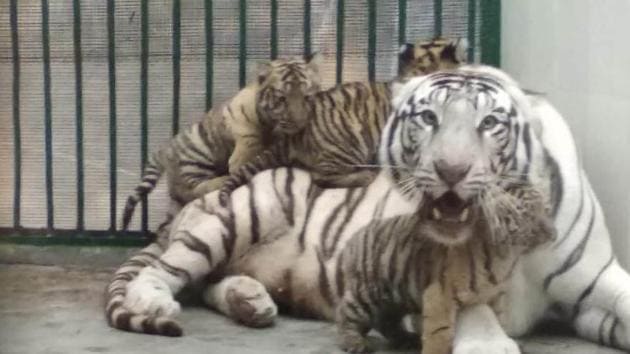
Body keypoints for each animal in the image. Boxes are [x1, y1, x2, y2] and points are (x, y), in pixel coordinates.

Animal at [107, 65, 630, 352]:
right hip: (238, 213)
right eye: (427, 118)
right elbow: (472, 307)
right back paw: (155, 300)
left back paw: (251, 302)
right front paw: (487, 341)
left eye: (490, 124)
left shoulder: (593, 284)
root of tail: (180, 209)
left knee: (208, 283)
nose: (450, 170)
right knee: (165, 271)